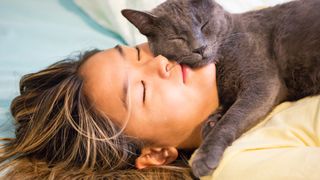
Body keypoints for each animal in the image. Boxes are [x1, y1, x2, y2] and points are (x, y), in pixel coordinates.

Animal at [122, 0, 320, 177]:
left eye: (204, 25)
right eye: (176, 38)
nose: (199, 48)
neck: (219, 70)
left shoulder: (262, 82)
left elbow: (231, 118)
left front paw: (204, 156)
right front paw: (212, 120)